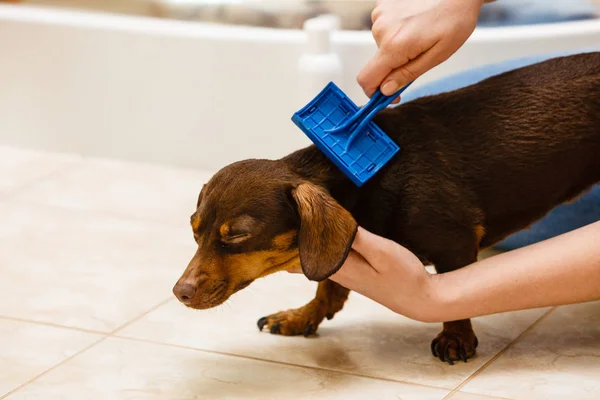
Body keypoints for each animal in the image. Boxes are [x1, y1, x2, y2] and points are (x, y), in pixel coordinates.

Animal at [172, 53, 600, 366]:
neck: (362, 180)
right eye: (194, 231)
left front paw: (456, 337)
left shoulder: (457, 242)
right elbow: (328, 286)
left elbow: (456, 290)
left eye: (237, 236)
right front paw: (302, 316)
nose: (179, 293)